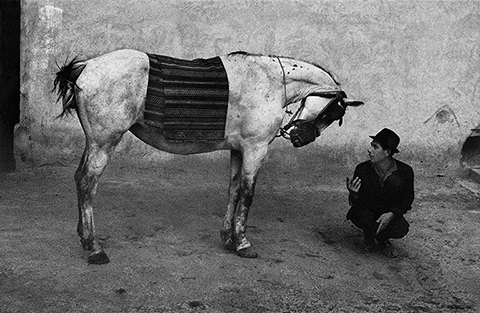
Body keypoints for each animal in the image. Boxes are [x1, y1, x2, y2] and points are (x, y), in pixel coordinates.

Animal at [53, 48, 364, 264]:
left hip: (94, 142)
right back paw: (94, 247)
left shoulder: (238, 149)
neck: (271, 82)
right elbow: (247, 194)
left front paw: (228, 237)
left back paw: (85, 238)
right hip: (104, 142)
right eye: (333, 113)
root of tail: (86, 66)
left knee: (79, 178)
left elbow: (233, 190)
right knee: (88, 184)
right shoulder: (255, 149)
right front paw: (242, 243)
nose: (301, 137)